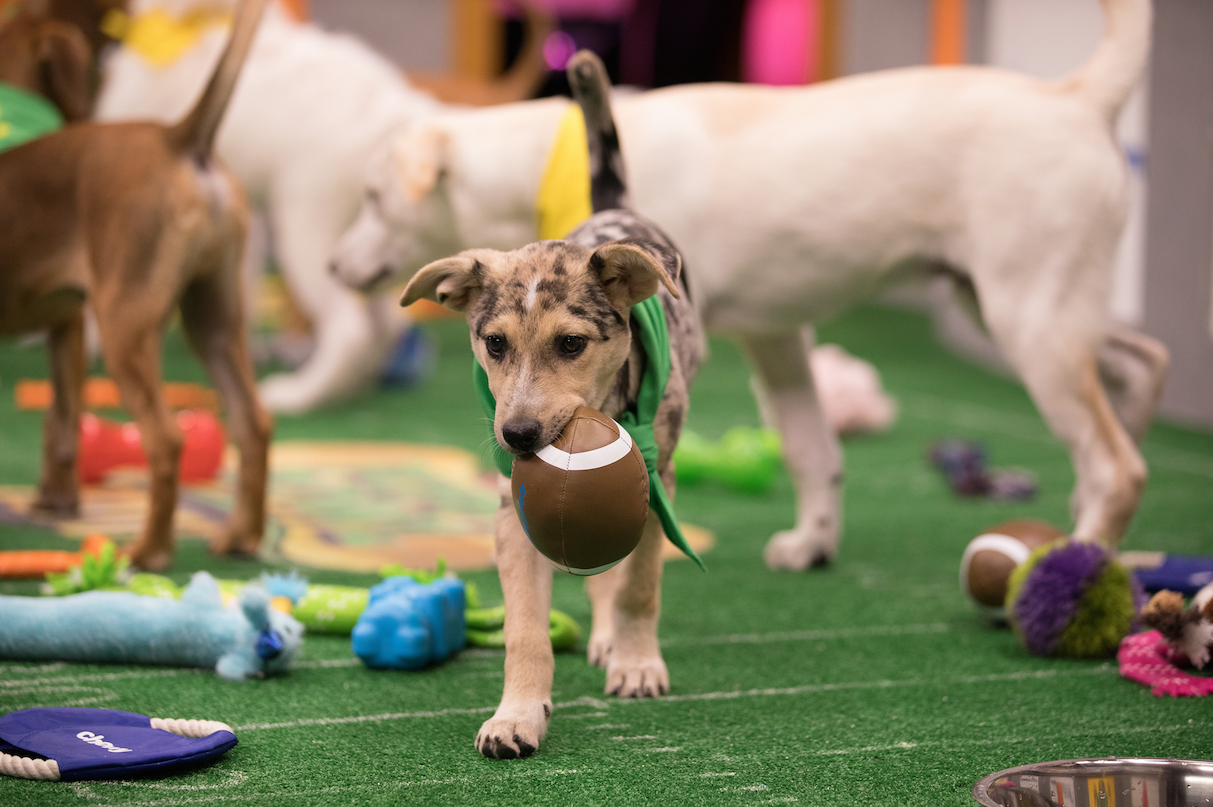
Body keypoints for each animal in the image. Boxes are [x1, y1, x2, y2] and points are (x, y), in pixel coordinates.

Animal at [0, 0, 270, 570]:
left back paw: (149, 551)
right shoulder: (67, 323)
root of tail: (178, 137)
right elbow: (60, 421)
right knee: (252, 421)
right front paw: (57, 500)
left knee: (165, 440)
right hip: (212, 320)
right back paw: (241, 536)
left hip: (125, 325)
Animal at [334, 0, 1164, 572]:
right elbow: (811, 448)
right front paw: (815, 542)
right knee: (1140, 366)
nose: (334, 267)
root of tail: (1075, 96)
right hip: (1014, 306)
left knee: (1116, 462)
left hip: (1029, 318)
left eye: (372, 196)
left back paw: (1074, 565)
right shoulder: (777, 335)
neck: (558, 157)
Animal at [400, 51, 703, 762]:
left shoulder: (658, 483)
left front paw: (637, 663)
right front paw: (516, 715)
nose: (517, 434)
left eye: (571, 344)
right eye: (494, 343)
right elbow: (525, 629)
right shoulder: (513, 513)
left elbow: (640, 586)